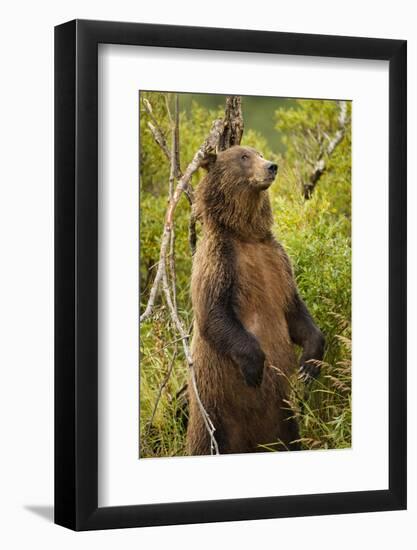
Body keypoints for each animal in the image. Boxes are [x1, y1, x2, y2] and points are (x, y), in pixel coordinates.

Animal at [186, 147, 324, 458]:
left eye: (258, 153)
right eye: (243, 157)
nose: (271, 166)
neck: (245, 234)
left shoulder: (277, 261)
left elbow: (294, 312)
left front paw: (309, 364)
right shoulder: (219, 262)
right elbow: (213, 313)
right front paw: (254, 366)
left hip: (281, 416)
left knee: (289, 437)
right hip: (215, 413)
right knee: (207, 441)